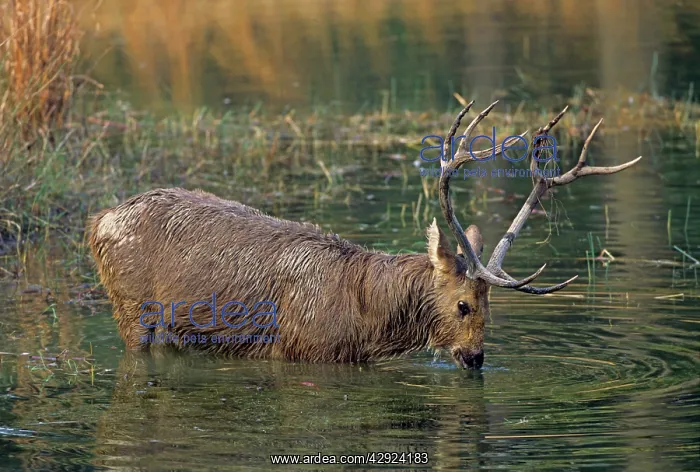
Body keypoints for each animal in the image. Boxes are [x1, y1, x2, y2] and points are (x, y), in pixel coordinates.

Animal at [88, 101, 641, 370]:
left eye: (490, 304)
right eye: (463, 304)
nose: (475, 358)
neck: (364, 319)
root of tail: (99, 220)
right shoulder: (302, 353)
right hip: (131, 306)